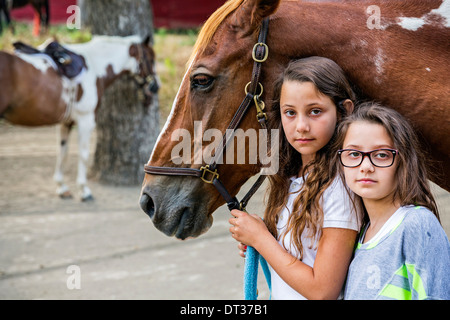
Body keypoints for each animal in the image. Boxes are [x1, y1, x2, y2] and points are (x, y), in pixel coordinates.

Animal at [0, 35, 160, 200]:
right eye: (151, 59)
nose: (155, 86)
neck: (94, 67)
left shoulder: (65, 123)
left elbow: (62, 152)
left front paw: (62, 187)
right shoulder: (86, 120)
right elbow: (83, 154)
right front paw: (84, 190)